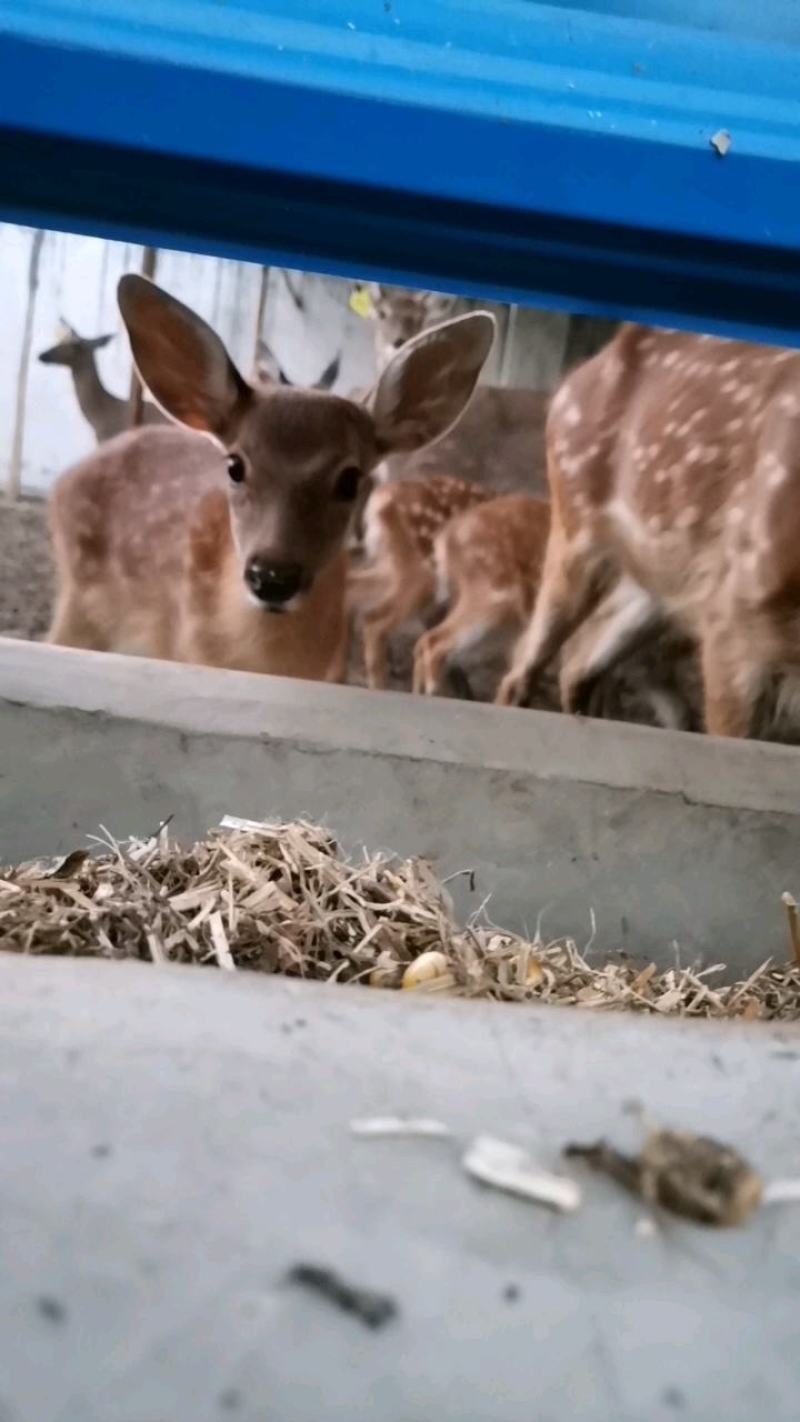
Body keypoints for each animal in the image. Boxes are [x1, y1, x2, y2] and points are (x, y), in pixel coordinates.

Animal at [46, 276, 496, 684]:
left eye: (350, 479)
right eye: (234, 465)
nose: (273, 577)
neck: (264, 663)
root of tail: (67, 479)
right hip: (79, 599)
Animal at [496, 322, 800, 739]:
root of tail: (572, 379)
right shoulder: (734, 617)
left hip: (659, 578)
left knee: (579, 663)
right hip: (575, 526)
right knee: (524, 666)